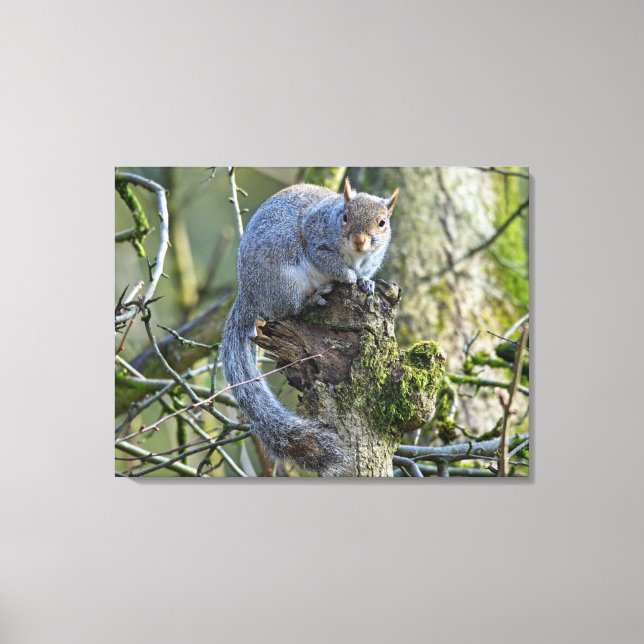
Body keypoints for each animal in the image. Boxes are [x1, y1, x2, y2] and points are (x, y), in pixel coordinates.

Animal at [219, 178, 399, 476]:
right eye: (345, 217)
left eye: (382, 222)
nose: (359, 240)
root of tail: (248, 293)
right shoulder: (317, 242)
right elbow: (332, 263)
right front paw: (349, 277)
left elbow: (366, 274)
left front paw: (366, 282)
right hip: (286, 282)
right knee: (288, 309)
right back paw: (314, 297)